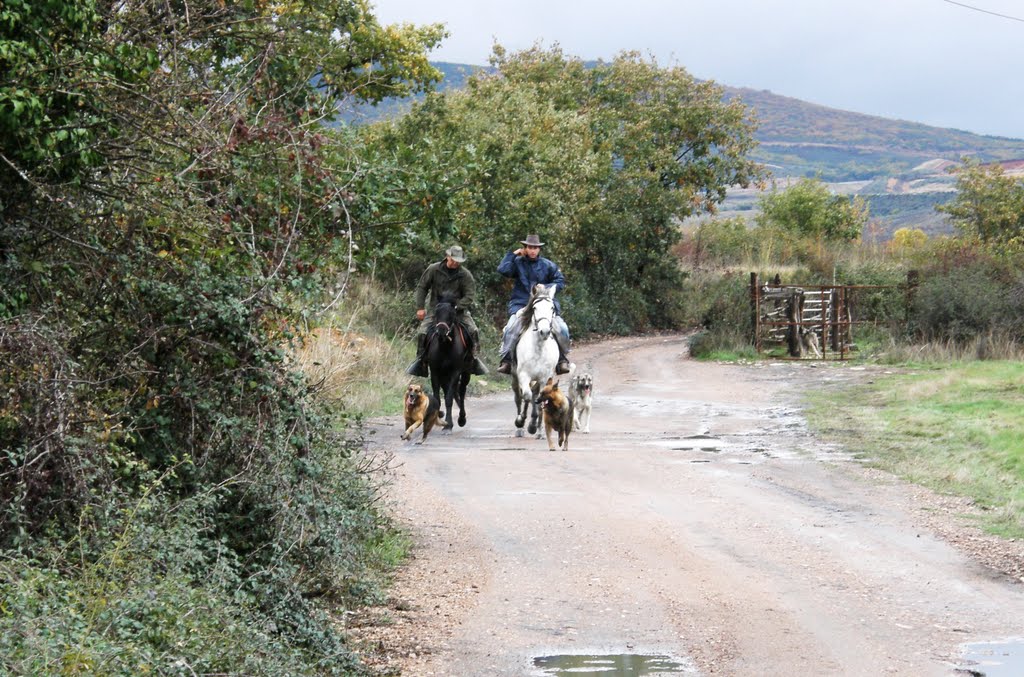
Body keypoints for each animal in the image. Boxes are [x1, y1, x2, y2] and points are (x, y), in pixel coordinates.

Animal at [423, 292, 471, 430]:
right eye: (437, 312)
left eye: (452, 314)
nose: (441, 332)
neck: (445, 347)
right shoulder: (435, 372)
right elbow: (438, 397)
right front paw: (439, 415)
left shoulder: (456, 371)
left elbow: (449, 398)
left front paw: (448, 424)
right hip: (444, 375)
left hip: (465, 372)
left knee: (461, 391)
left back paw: (461, 418)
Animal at [512, 282, 561, 436]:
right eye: (534, 308)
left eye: (552, 308)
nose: (544, 332)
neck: (539, 349)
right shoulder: (523, 375)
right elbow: (526, 396)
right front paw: (521, 421)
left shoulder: (544, 378)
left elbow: (540, 402)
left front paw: (536, 428)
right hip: (515, 377)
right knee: (519, 397)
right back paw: (520, 428)